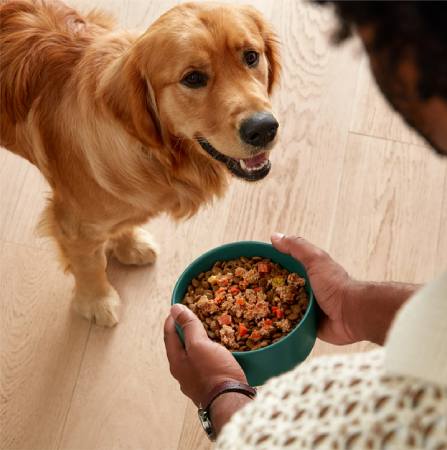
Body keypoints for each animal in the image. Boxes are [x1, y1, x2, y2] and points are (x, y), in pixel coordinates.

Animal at [0, 0, 280, 324]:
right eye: (193, 78)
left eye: (251, 56)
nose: (263, 128)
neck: (159, 158)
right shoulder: (73, 222)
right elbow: (89, 263)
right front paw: (97, 301)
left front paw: (129, 244)